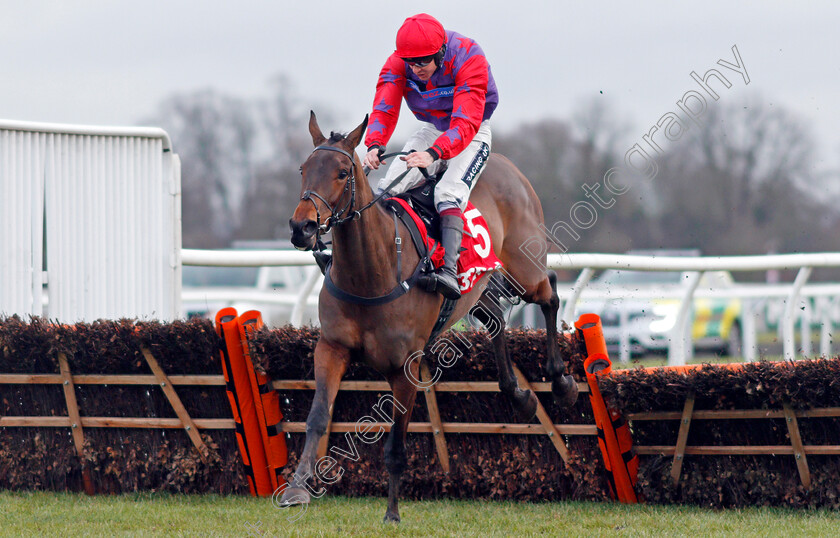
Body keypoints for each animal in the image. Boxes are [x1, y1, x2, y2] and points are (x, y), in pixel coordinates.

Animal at [288, 112, 576, 520]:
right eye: (303, 169)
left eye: (343, 172)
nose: (303, 227)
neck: (371, 273)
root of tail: (509, 167)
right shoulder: (331, 348)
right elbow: (316, 418)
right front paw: (296, 488)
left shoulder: (405, 366)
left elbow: (395, 442)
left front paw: (392, 513)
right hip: (475, 287)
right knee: (496, 318)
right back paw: (519, 395)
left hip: (525, 269)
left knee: (549, 292)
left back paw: (562, 382)